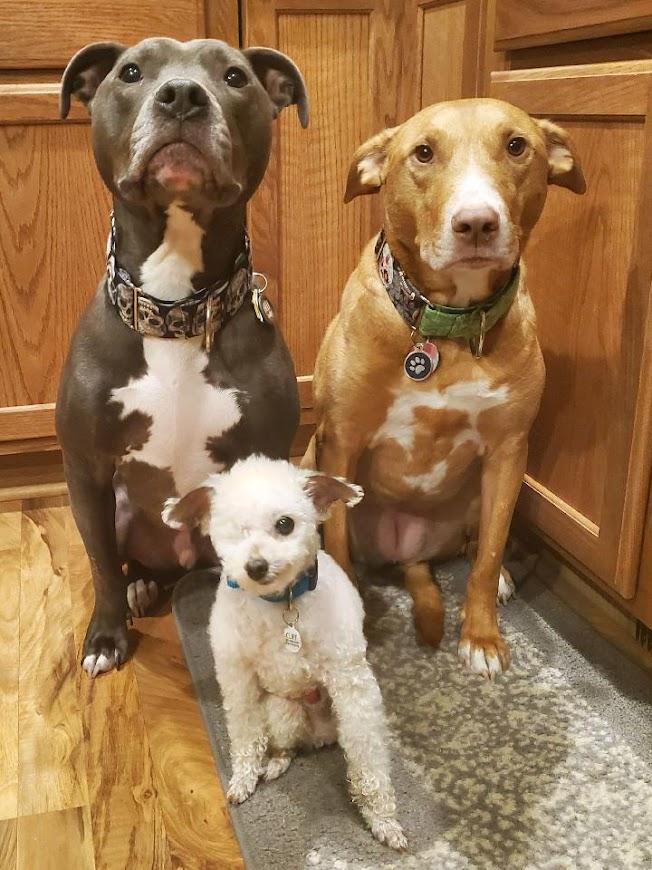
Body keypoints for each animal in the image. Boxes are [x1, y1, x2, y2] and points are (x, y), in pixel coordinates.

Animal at [56, 39, 308, 680]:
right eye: (131, 72)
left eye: (235, 77)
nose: (183, 96)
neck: (175, 308)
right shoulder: (86, 470)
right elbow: (99, 566)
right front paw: (106, 637)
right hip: (120, 508)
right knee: (124, 563)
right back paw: (141, 587)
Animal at [163, 456, 408, 852]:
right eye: (232, 530)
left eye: (285, 524)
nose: (256, 566)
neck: (279, 603)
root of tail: (317, 734)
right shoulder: (237, 678)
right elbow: (245, 736)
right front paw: (243, 779)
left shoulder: (352, 685)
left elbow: (368, 759)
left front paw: (381, 818)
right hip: (281, 712)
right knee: (283, 745)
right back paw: (274, 763)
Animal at [306, 97, 584, 680]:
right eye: (423, 153)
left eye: (517, 145)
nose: (476, 222)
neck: (446, 325)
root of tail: (406, 551)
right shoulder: (340, 440)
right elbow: (336, 542)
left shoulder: (508, 451)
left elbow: (490, 555)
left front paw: (481, 636)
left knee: (482, 547)